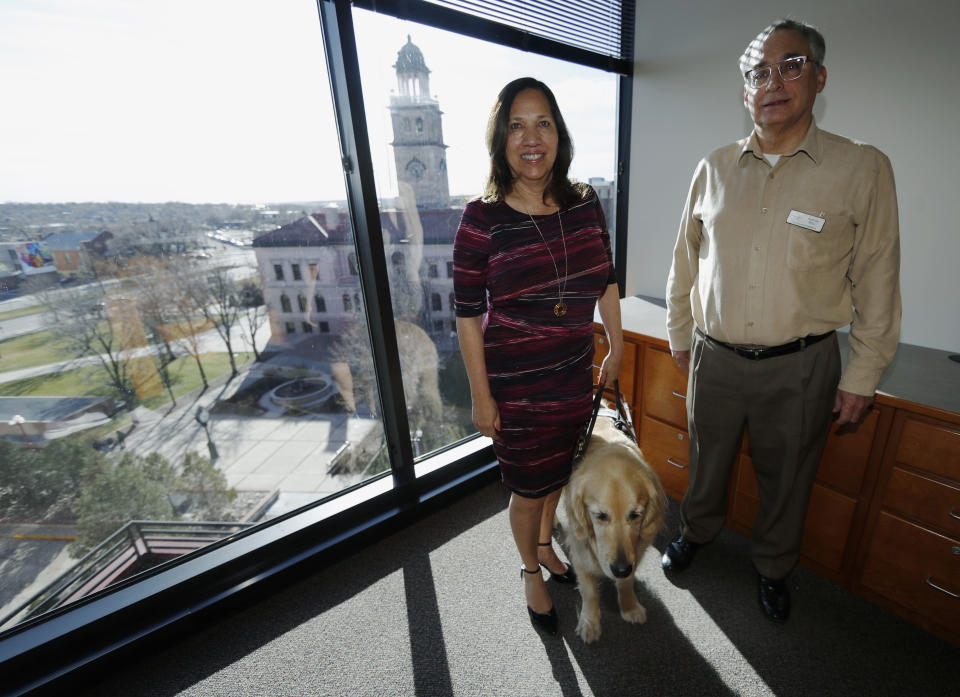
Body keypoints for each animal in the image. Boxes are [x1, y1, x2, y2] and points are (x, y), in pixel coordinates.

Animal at [564, 410, 668, 644]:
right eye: (600, 516)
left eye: (635, 515)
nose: (620, 569)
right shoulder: (580, 550)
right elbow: (589, 592)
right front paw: (590, 622)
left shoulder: (635, 551)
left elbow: (627, 583)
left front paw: (630, 607)